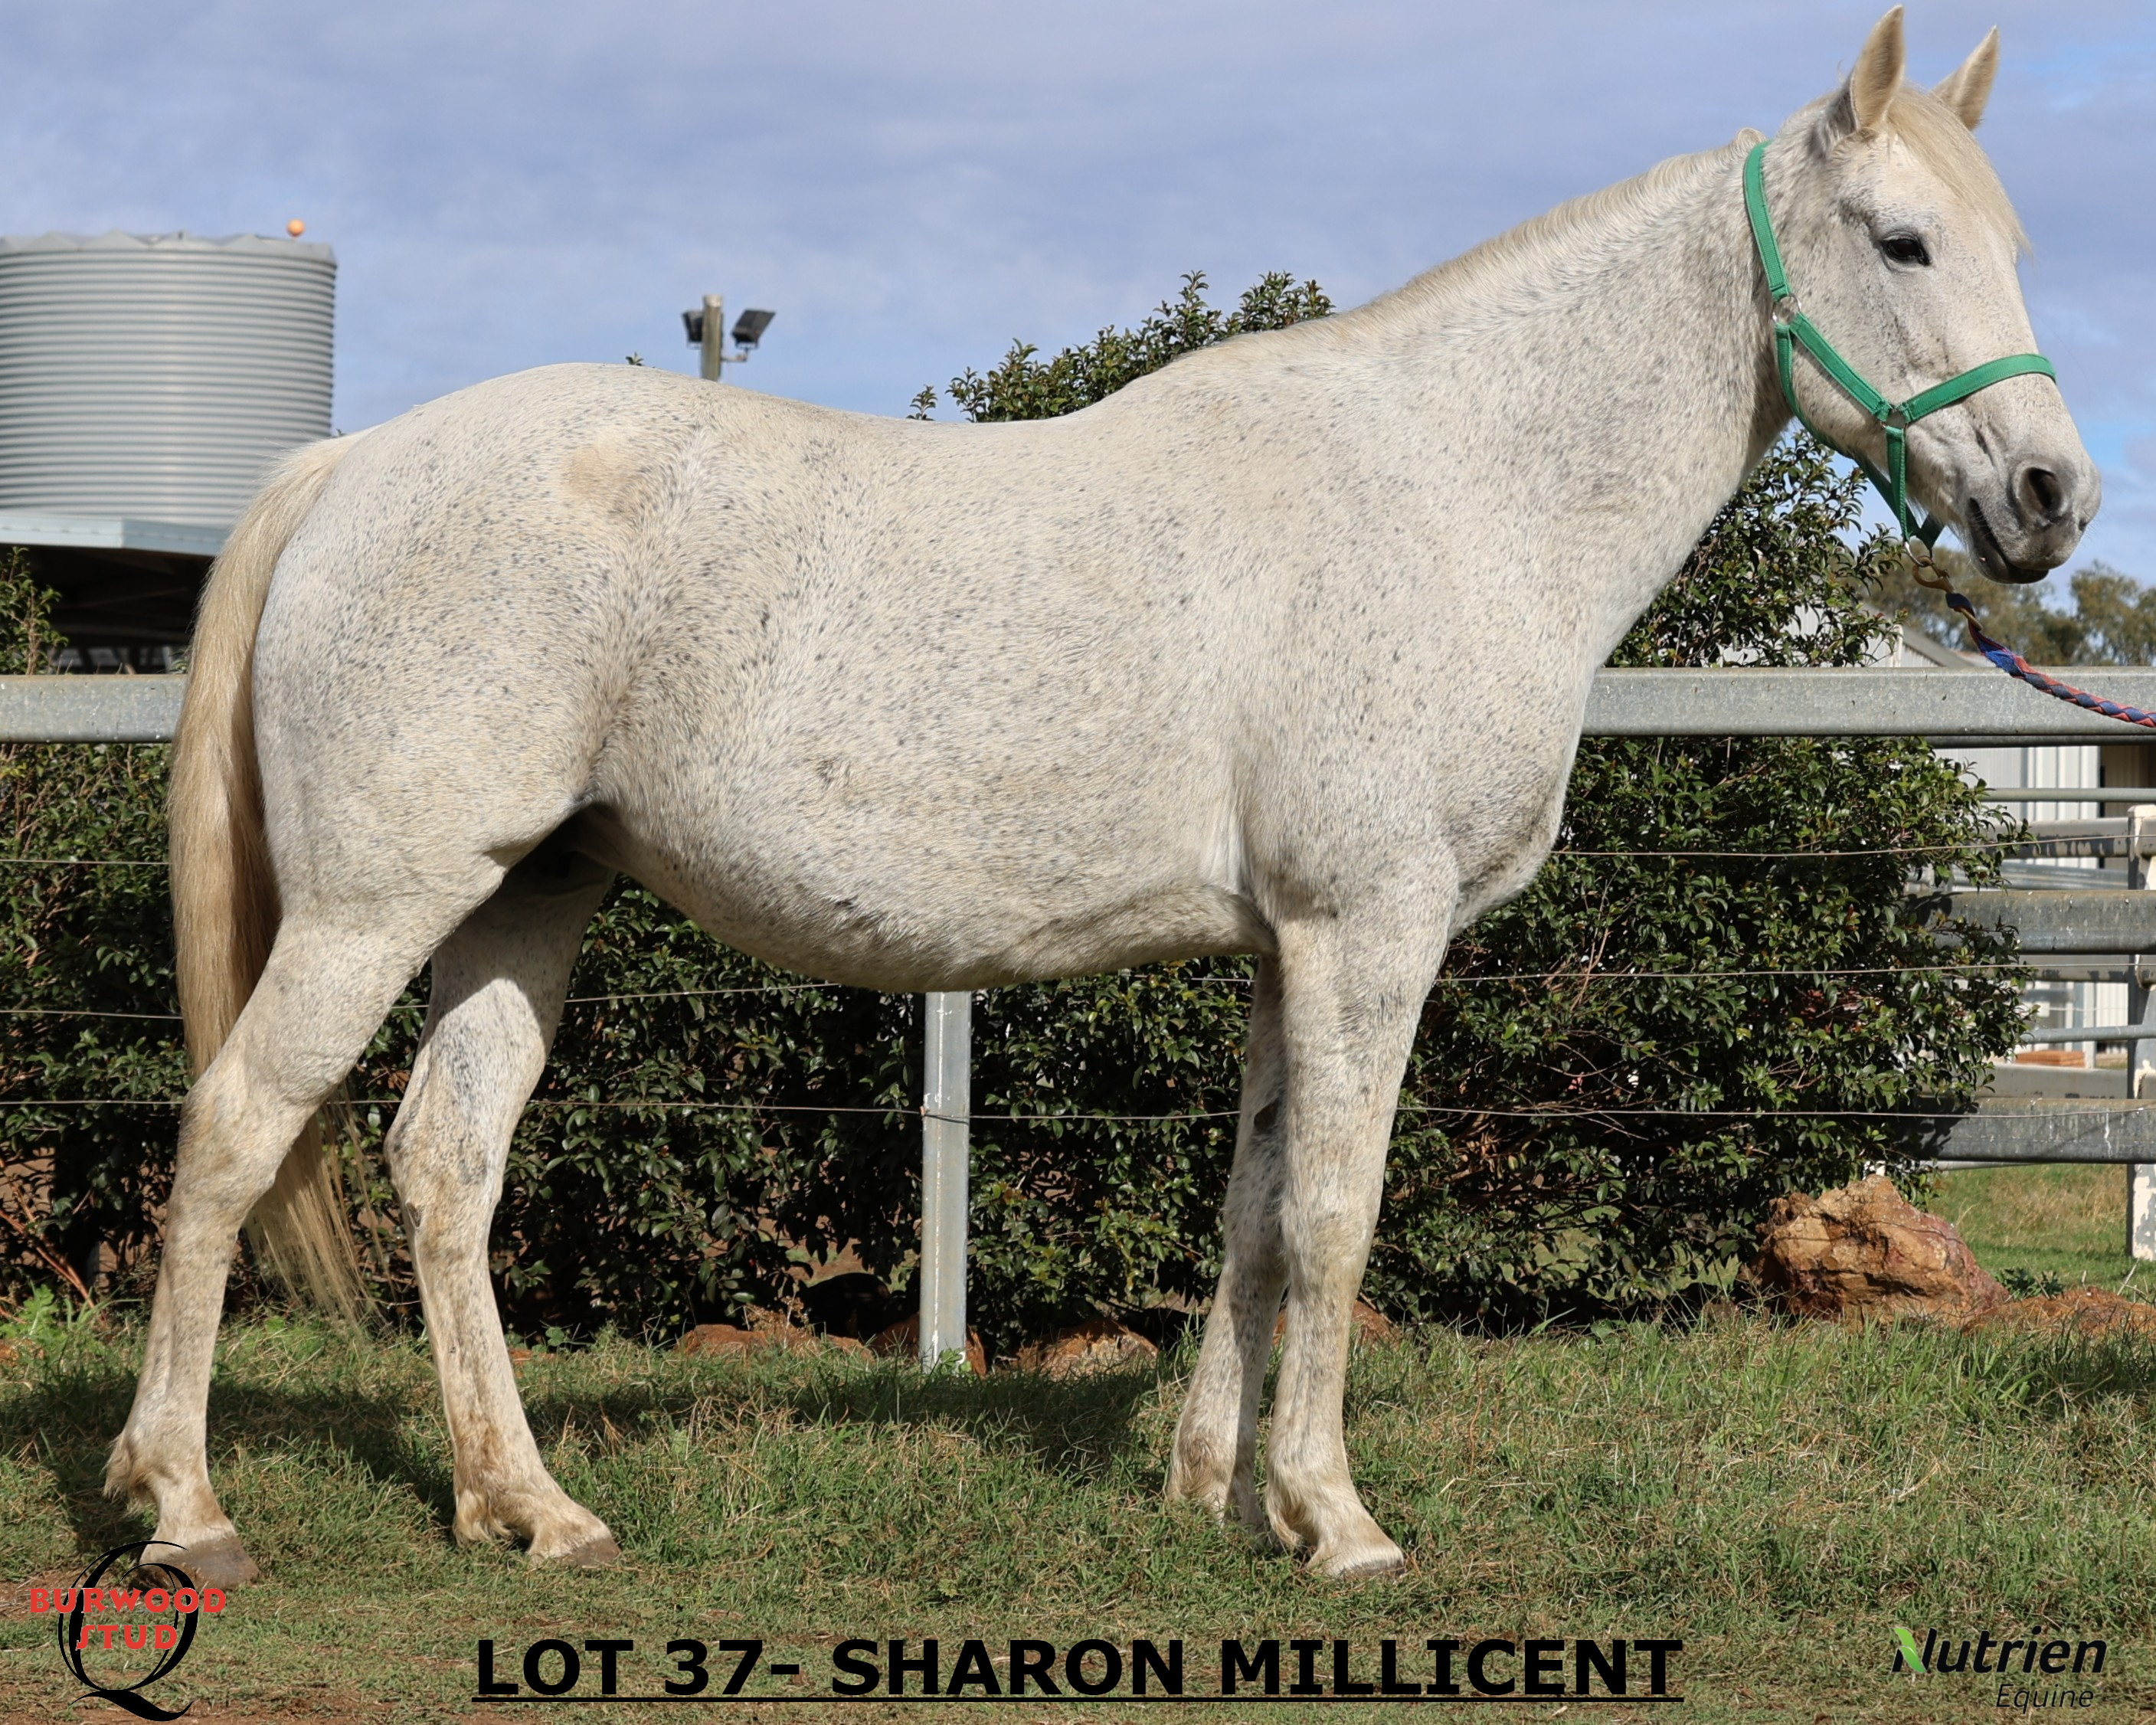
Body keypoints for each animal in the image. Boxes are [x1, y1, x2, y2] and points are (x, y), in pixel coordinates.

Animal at [107, 7, 2095, 1584]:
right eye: (1904, 240)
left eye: (2012, 238)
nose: (2053, 495)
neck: (1455, 488)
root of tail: (350, 461)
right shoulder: (1369, 929)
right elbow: (1338, 1216)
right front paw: (1338, 1517)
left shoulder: (1286, 945)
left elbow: (1257, 1204)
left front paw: (1219, 1489)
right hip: (379, 902)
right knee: (234, 1130)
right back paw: (187, 1505)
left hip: (532, 892)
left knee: (445, 1163)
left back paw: (527, 1508)